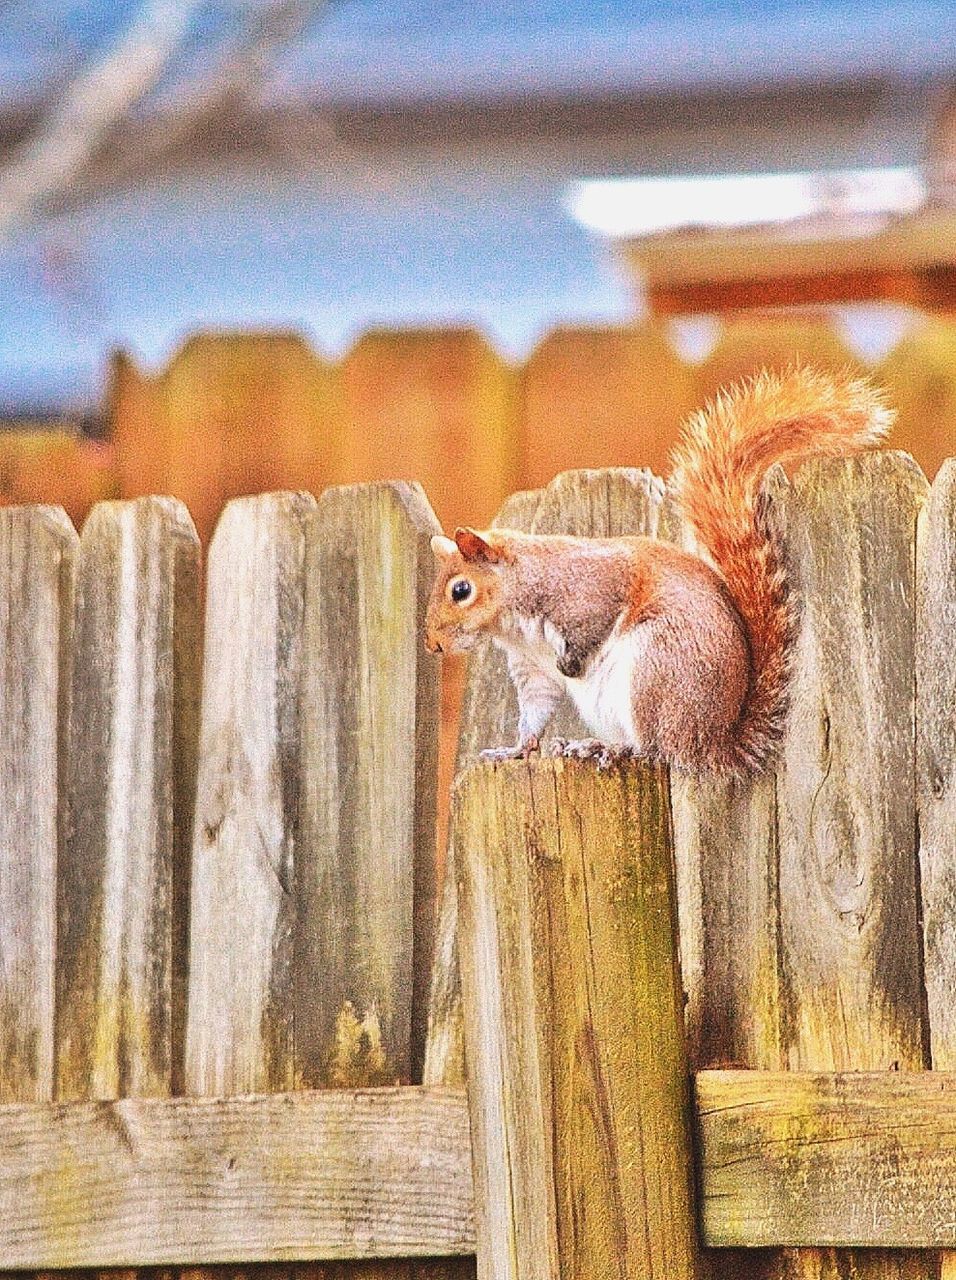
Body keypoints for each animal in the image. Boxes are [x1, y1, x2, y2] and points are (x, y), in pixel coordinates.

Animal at [424, 366, 890, 773]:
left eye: (461, 590)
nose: (433, 645)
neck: (515, 619)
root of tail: (713, 742)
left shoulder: (589, 588)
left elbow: (593, 622)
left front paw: (572, 665)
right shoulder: (530, 667)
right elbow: (535, 711)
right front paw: (515, 749)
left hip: (656, 669)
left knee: (656, 748)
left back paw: (612, 748)